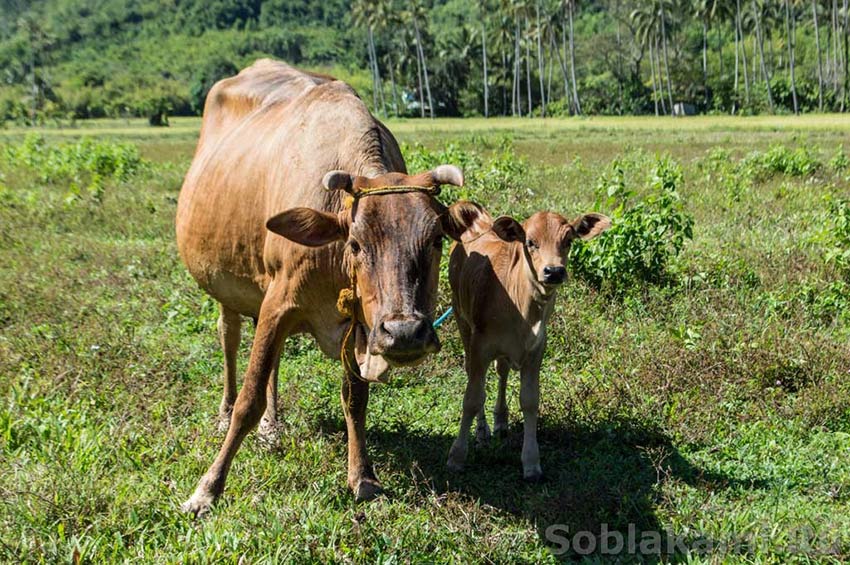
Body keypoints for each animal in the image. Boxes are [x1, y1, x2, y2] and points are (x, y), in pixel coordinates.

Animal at [176, 58, 484, 516]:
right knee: (229, 338)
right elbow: (249, 396)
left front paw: (362, 476)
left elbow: (355, 398)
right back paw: (225, 410)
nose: (405, 333)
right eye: (355, 243)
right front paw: (208, 488)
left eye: (434, 241)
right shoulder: (279, 302)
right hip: (225, 284)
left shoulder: (359, 326)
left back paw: (272, 426)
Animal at [444, 209, 608, 478]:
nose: (554, 271)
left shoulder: (536, 350)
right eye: (530, 242)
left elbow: (530, 400)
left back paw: (500, 420)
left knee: (502, 372)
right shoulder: (479, 347)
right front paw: (457, 456)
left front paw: (531, 462)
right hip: (461, 318)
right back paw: (482, 430)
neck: (522, 308)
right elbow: (472, 398)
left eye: (568, 241)